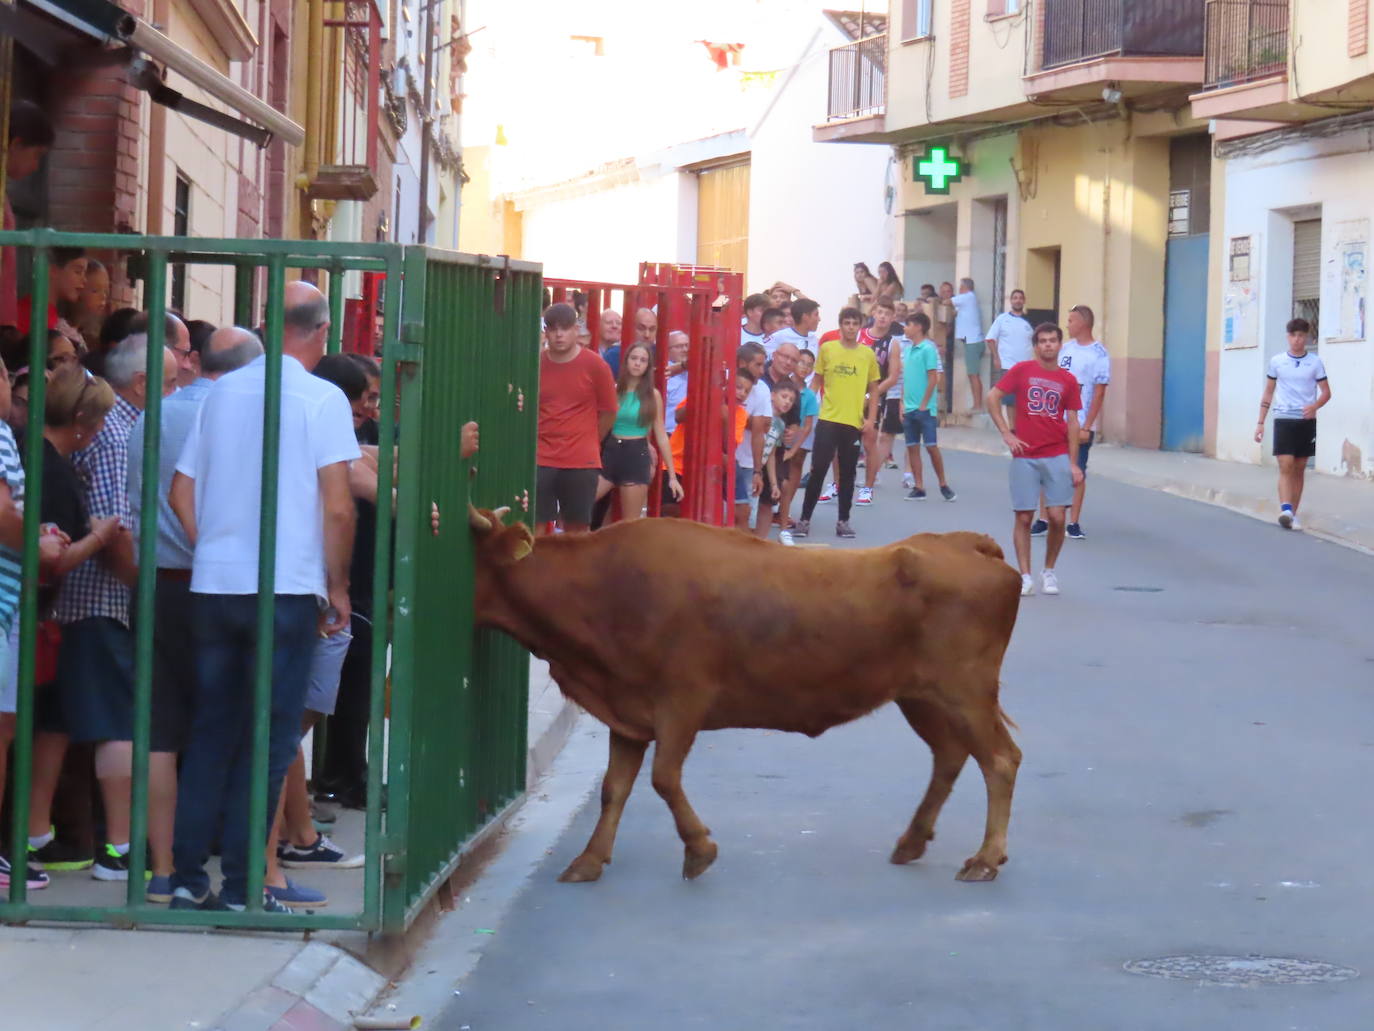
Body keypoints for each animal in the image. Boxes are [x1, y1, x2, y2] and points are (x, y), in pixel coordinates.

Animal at [469, 505, 1022, 885]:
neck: (606, 586)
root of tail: (965, 543)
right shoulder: (627, 712)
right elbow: (614, 789)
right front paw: (588, 860)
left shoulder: (682, 701)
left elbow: (664, 778)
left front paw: (698, 849)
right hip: (921, 697)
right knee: (950, 756)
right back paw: (912, 841)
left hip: (965, 692)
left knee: (999, 760)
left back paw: (986, 858)